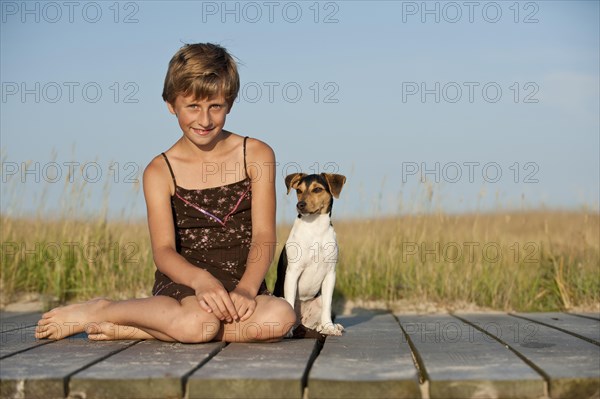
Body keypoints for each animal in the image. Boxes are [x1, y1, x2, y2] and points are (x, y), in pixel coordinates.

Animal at [274, 173, 344, 336]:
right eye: (298, 190)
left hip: (319, 299)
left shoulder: (330, 274)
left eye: (317, 189)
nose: (300, 205)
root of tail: (301, 323)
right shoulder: (293, 272)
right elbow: (290, 302)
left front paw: (329, 327)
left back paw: (326, 327)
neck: (315, 228)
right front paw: (287, 331)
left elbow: (328, 306)